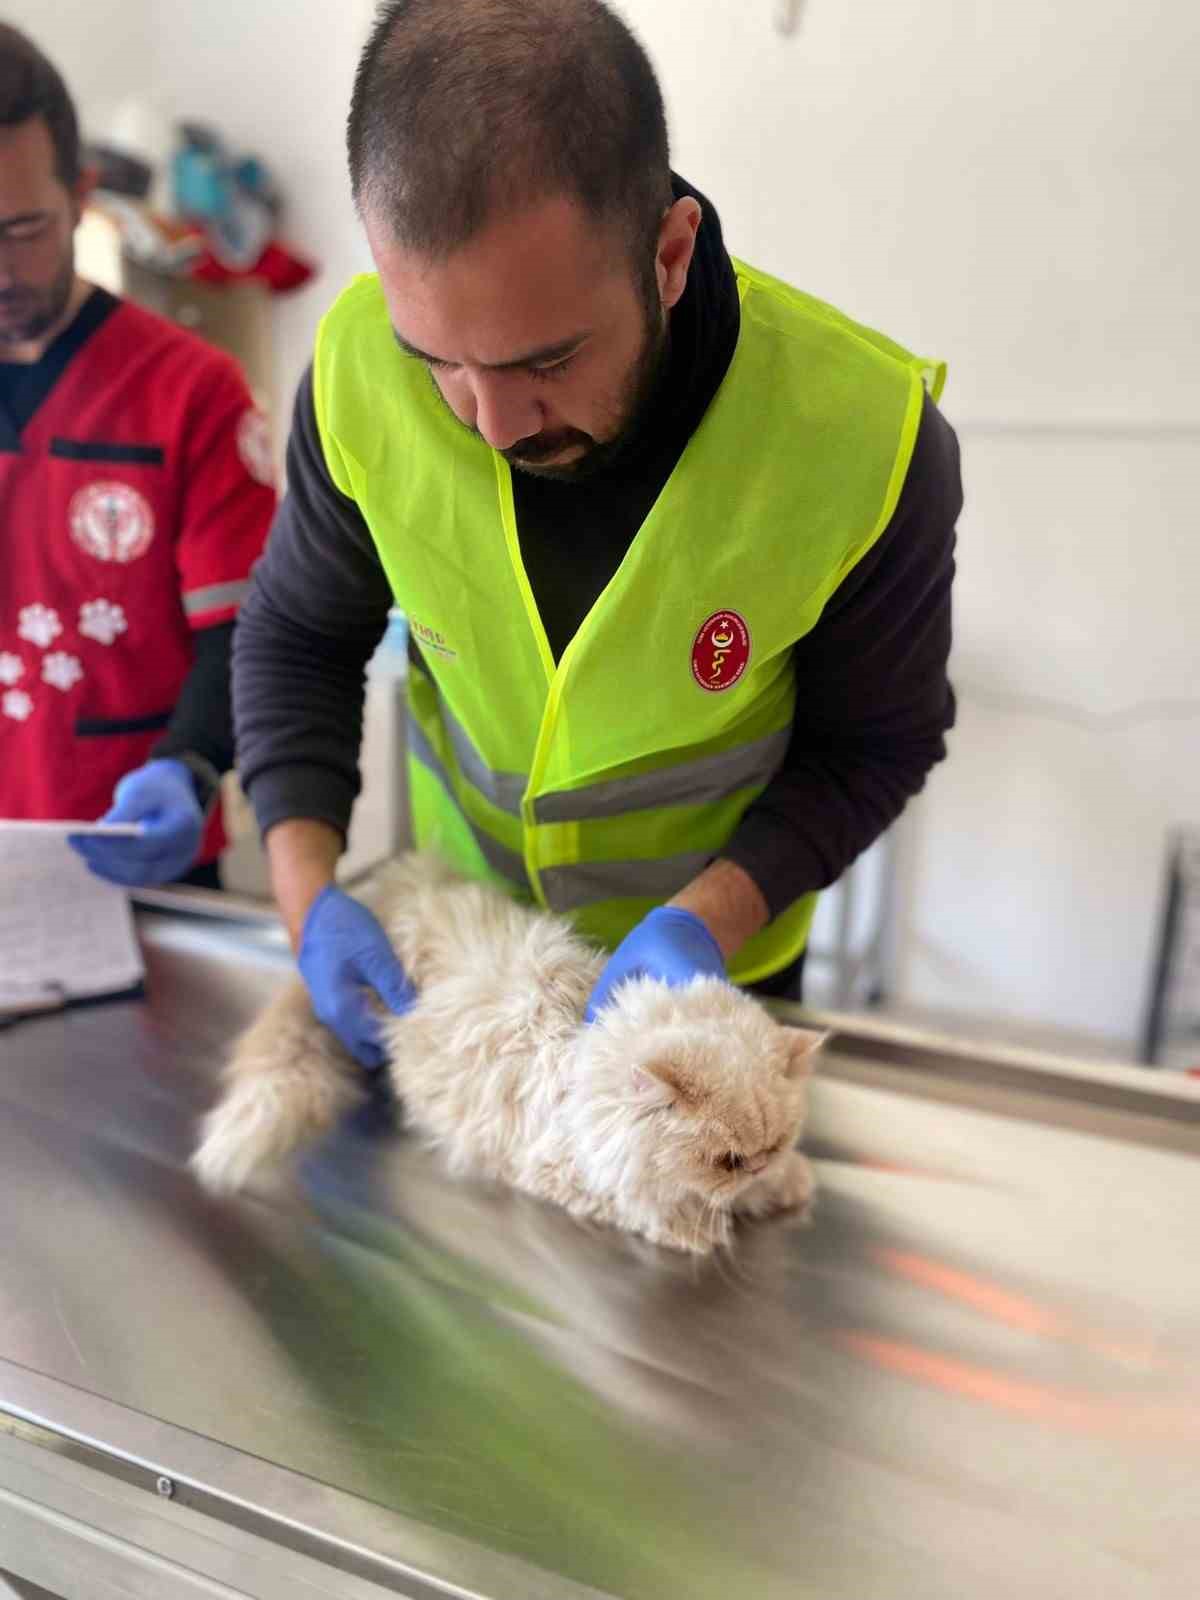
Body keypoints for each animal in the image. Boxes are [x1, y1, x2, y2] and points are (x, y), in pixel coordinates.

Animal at [195, 857, 825, 1254]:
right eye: (727, 1161)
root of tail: (383, 884)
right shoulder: (560, 1173)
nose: (759, 1167)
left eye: (772, 1145)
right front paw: (701, 1230)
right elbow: (643, 1206)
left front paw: (785, 1185)